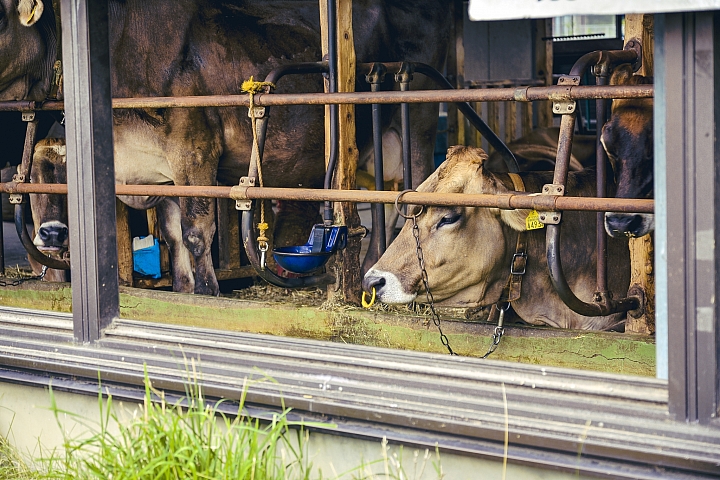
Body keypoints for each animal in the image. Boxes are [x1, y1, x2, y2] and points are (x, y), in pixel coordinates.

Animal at [2, 0, 448, 294]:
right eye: (38, 178)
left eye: (3, 17)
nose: (53, 234)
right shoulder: (167, 174)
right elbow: (173, 236)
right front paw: (186, 292)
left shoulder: (193, 150)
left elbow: (196, 234)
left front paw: (209, 293)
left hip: (419, 122)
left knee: (413, 199)